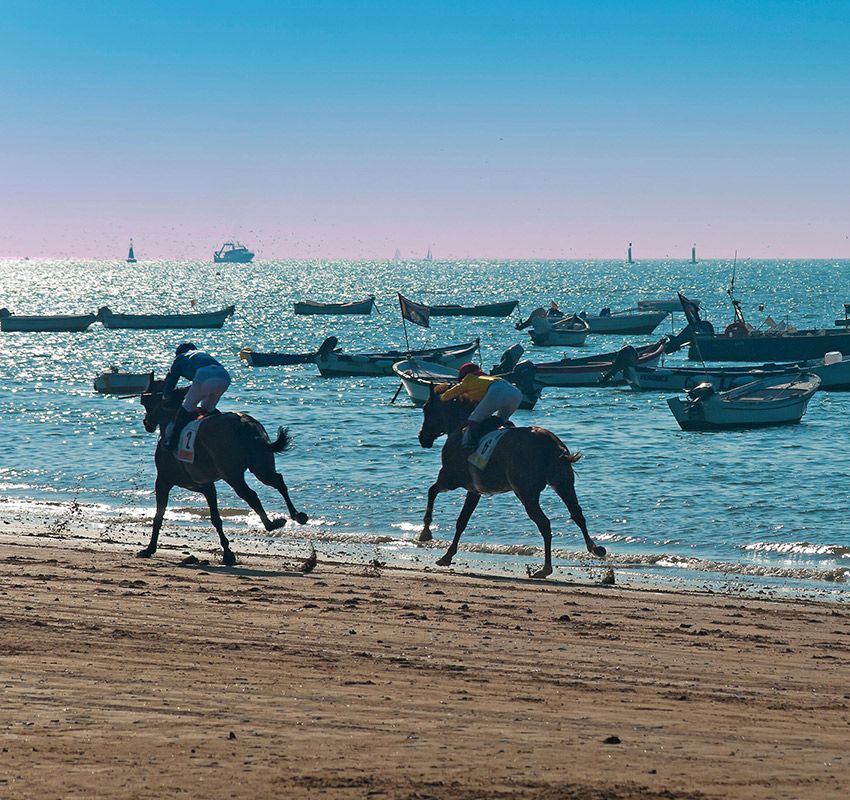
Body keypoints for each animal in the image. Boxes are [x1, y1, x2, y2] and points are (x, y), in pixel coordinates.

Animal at [137, 380, 310, 564]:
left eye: (147, 403)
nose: (146, 422)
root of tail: (244, 424)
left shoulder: (163, 481)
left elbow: (158, 516)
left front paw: (149, 549)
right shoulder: (207, 486)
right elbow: (215, 518)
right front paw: (228, 553)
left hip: (232, 475)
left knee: (251, 495)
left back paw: (272, 524)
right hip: (260, 466)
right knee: (277, 481)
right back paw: (297, 515)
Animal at [416, 386, 604, 580]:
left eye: (425, 408)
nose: (422, 438)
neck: (460, 426)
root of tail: (551, 444)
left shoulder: (450, 478)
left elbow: (432, 491)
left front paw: (425, 532)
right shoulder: (474, 490)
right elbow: (462, 521)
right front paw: (447, 555)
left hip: (526, 493)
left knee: (544, 524)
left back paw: (545, 568)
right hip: (563, 484)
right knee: (577, 514)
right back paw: (595, 548)